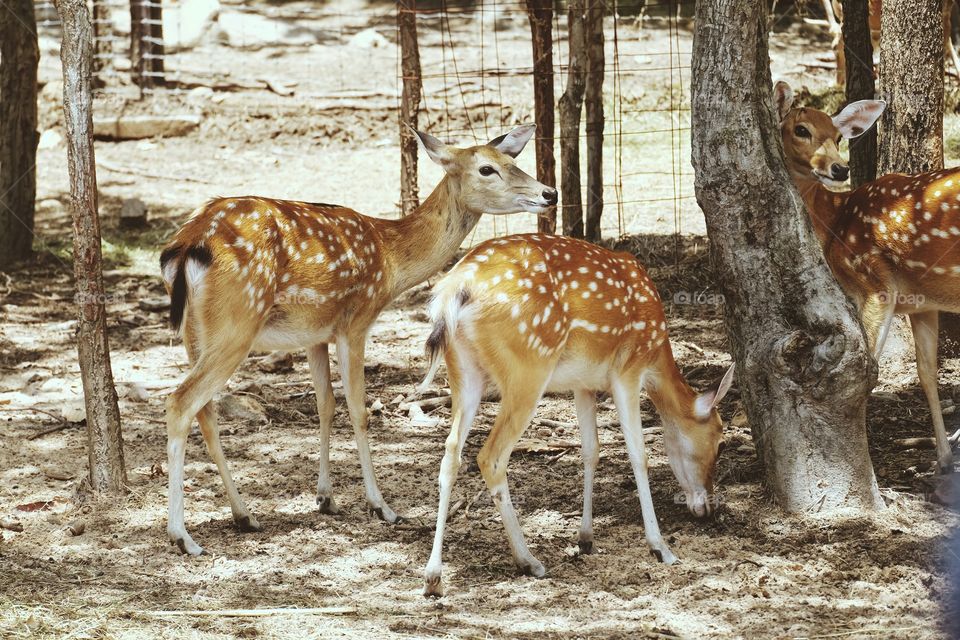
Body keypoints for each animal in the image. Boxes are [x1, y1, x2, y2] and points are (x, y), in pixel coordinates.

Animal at [159, 124, 558, 556]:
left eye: (512, 161)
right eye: (486, 168)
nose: (549, 193)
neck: (390, 259)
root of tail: (186, 246)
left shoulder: (315, 334)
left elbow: (325, 405)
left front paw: (325, 497)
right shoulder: (357, 320)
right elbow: (359, 410)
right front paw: (381, 506)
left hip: (196, 332)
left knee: (205, 412)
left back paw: (244, 515)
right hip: (236, 322)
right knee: (180, 402)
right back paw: (183, 536)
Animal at [416, 233, 735, 596]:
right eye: (720, 441)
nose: (707, 507)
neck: (656, 354)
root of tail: (454, 291)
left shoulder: (583, 384)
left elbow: (591, 450)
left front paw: (585, 538)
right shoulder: (628, 370)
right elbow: (638, 455)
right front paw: (660, 548)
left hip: (464, 371)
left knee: (451, 453)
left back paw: (433, 576)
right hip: (529, 366)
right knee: (490, 457)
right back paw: (529, 561)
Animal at [774, 79, 960, 472]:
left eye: (837, 136)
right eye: (802, 130)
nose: (839, 168)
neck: (836, 221)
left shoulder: (874, 282)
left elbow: (868, 368)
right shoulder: (922, 303)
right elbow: (927, 373)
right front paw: (943, 459)